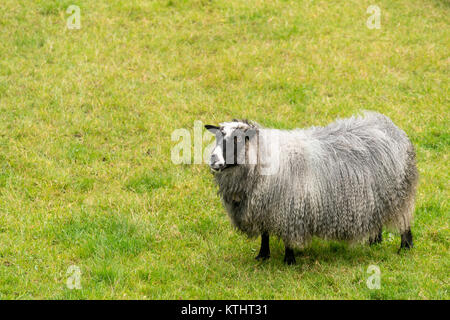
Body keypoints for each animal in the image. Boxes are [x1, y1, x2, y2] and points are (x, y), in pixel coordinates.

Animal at [207, 112, 418, 264]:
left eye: (237, 140)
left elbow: (288, 238)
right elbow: (265, 234)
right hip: (378, 195)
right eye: (217, 138)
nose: (213, 161)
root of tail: (393, 128)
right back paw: (374, 241)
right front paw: (262, 256)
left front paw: (289, 260)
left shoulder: (289, 208)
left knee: (404, 222)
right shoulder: (263, 207)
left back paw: (405, 248)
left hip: (400, 195)